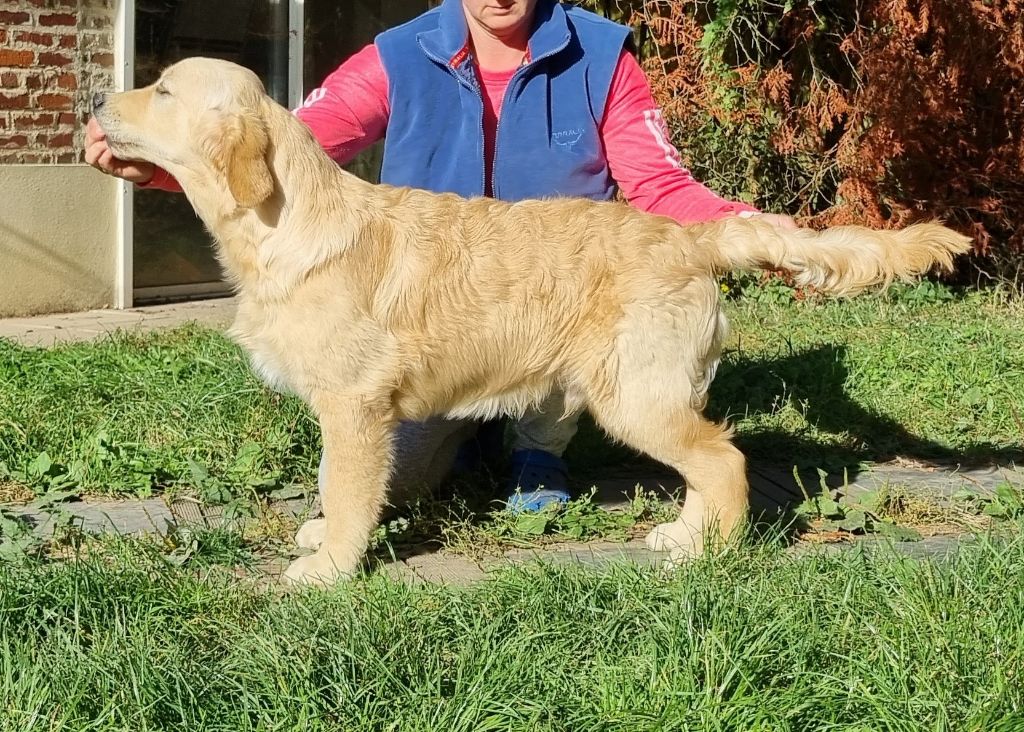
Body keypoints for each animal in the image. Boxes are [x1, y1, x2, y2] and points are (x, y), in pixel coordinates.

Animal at [92, 55, 970, 585]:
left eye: (162, 91)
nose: (98, 99)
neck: (283, 222)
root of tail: (688, 232)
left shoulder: (354, 405)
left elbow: (343, 487)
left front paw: (330, 569)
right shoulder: (353, 411)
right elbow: (328, 483)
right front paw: (319, 537)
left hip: (635, 394)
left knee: (724, 460)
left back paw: (706, 556)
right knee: (707, 460)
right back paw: (685, 537)